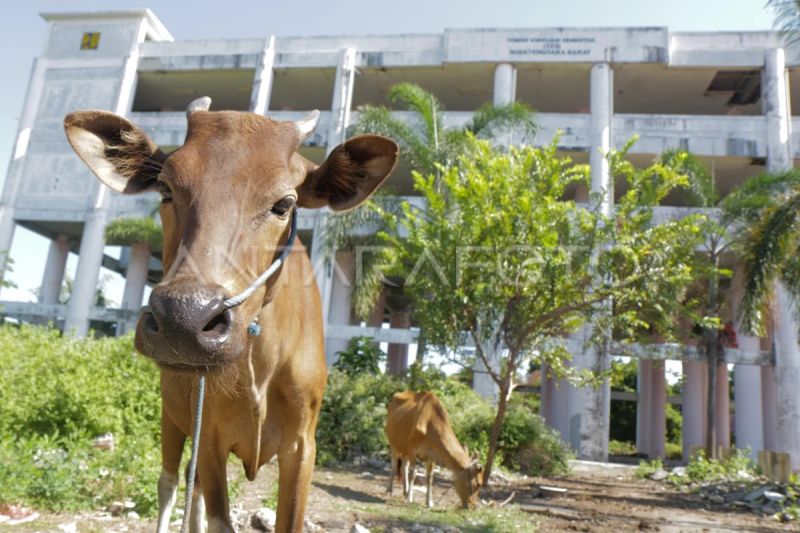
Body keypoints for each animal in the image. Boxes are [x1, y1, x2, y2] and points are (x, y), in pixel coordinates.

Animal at [63, 96, 400, 532]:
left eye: (284, 203)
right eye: (165, 188)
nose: (182, 318)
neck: (260, 362)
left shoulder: (303, 444)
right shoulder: (208, 434)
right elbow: (215, 515)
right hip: (171, 416)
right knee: (170, 483)